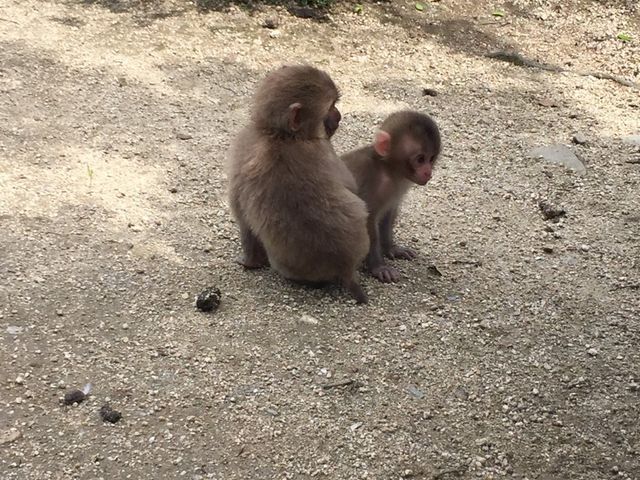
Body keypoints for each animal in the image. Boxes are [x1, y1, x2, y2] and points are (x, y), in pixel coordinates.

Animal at [226, 64, 370, 304]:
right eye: (331, 107)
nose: (339, 116)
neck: (280, 135)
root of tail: (344, 266)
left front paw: (249, 262)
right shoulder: (325, 149)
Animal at [342, 110, 442, 284]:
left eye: (431, 158)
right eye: (420, 159)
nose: (428, 173)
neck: (388, 169)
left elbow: (388, 215)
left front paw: (392, 248)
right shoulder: (372, 183)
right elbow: (366, 219)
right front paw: (378, 267)